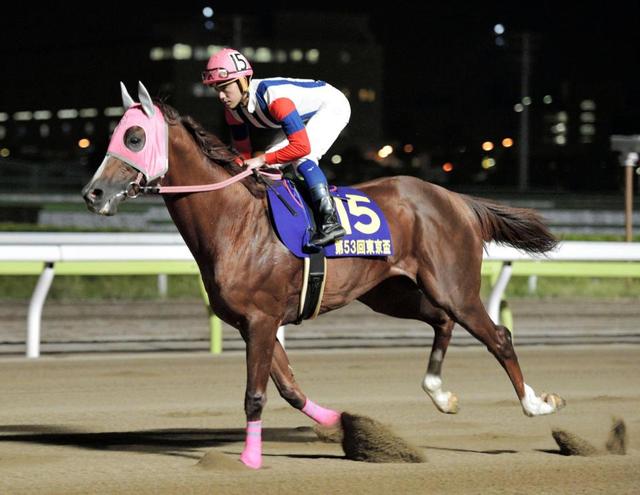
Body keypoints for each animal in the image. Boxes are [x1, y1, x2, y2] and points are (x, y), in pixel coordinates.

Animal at [82, 82, 565, 469]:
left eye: (135, 136)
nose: (93, 193)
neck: (235, 221)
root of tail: (456, 199)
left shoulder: (261, 321)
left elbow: (255, 394)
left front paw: (248, 460)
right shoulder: (252, 323)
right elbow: (291, 390)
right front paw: (346, 425)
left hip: (454, 287)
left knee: (498, 336)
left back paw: (537, 404)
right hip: (392, 294)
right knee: (442, 322)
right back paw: (440, 394)